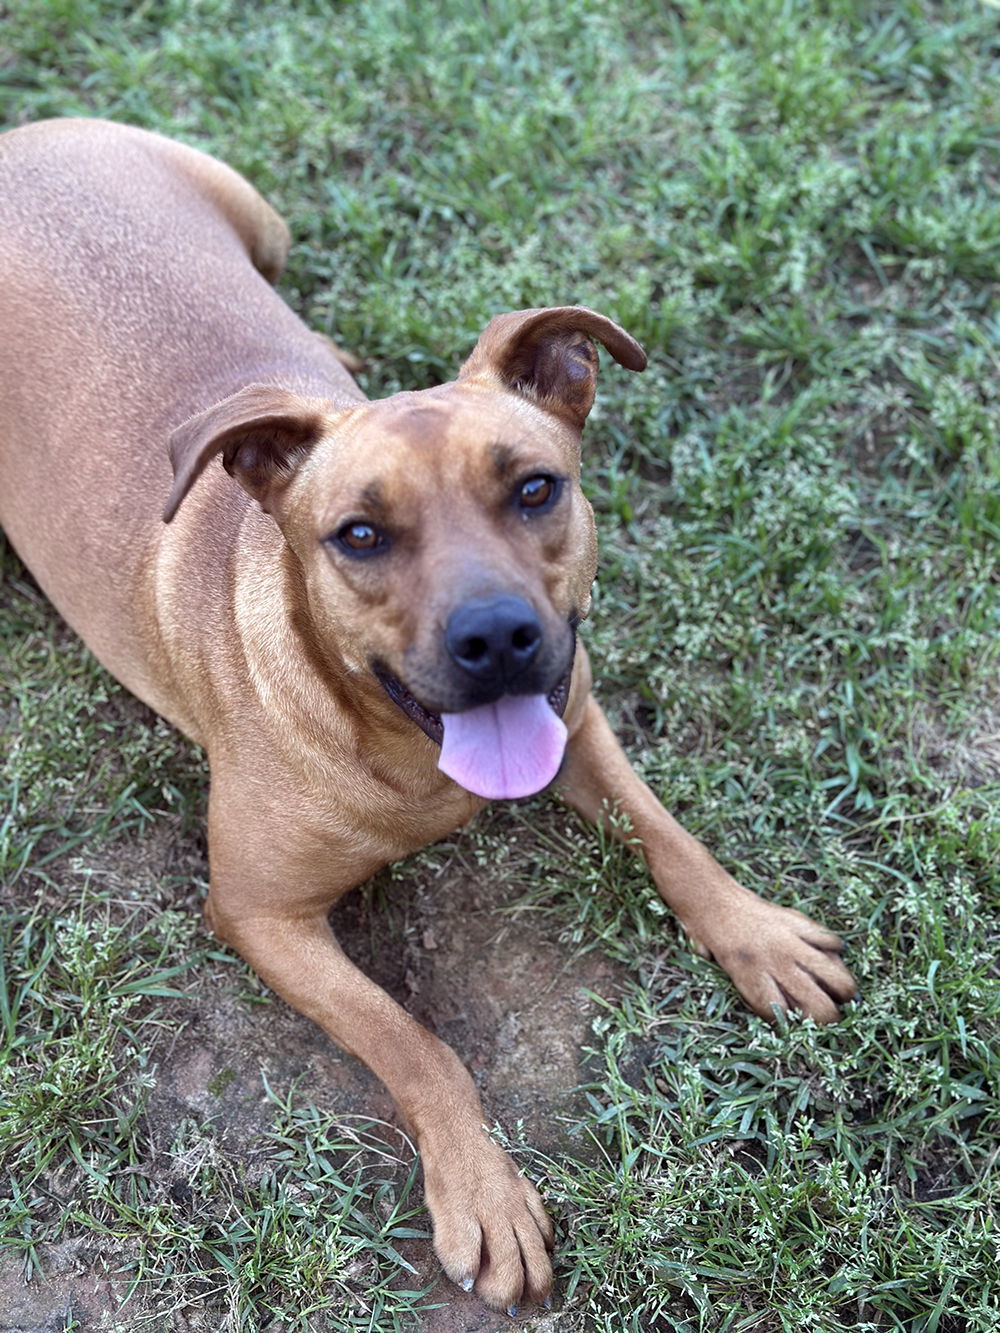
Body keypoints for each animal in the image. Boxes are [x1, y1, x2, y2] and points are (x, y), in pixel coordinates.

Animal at [0, 117, 864, 1311]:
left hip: (261, 222)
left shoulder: (578, 714)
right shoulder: (259, 912)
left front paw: (756, 931)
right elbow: (413, 1041)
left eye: (536, 487)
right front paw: (483, 1190)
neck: (405, 751)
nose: (496, 638)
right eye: (359, 536)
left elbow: (669, 834)